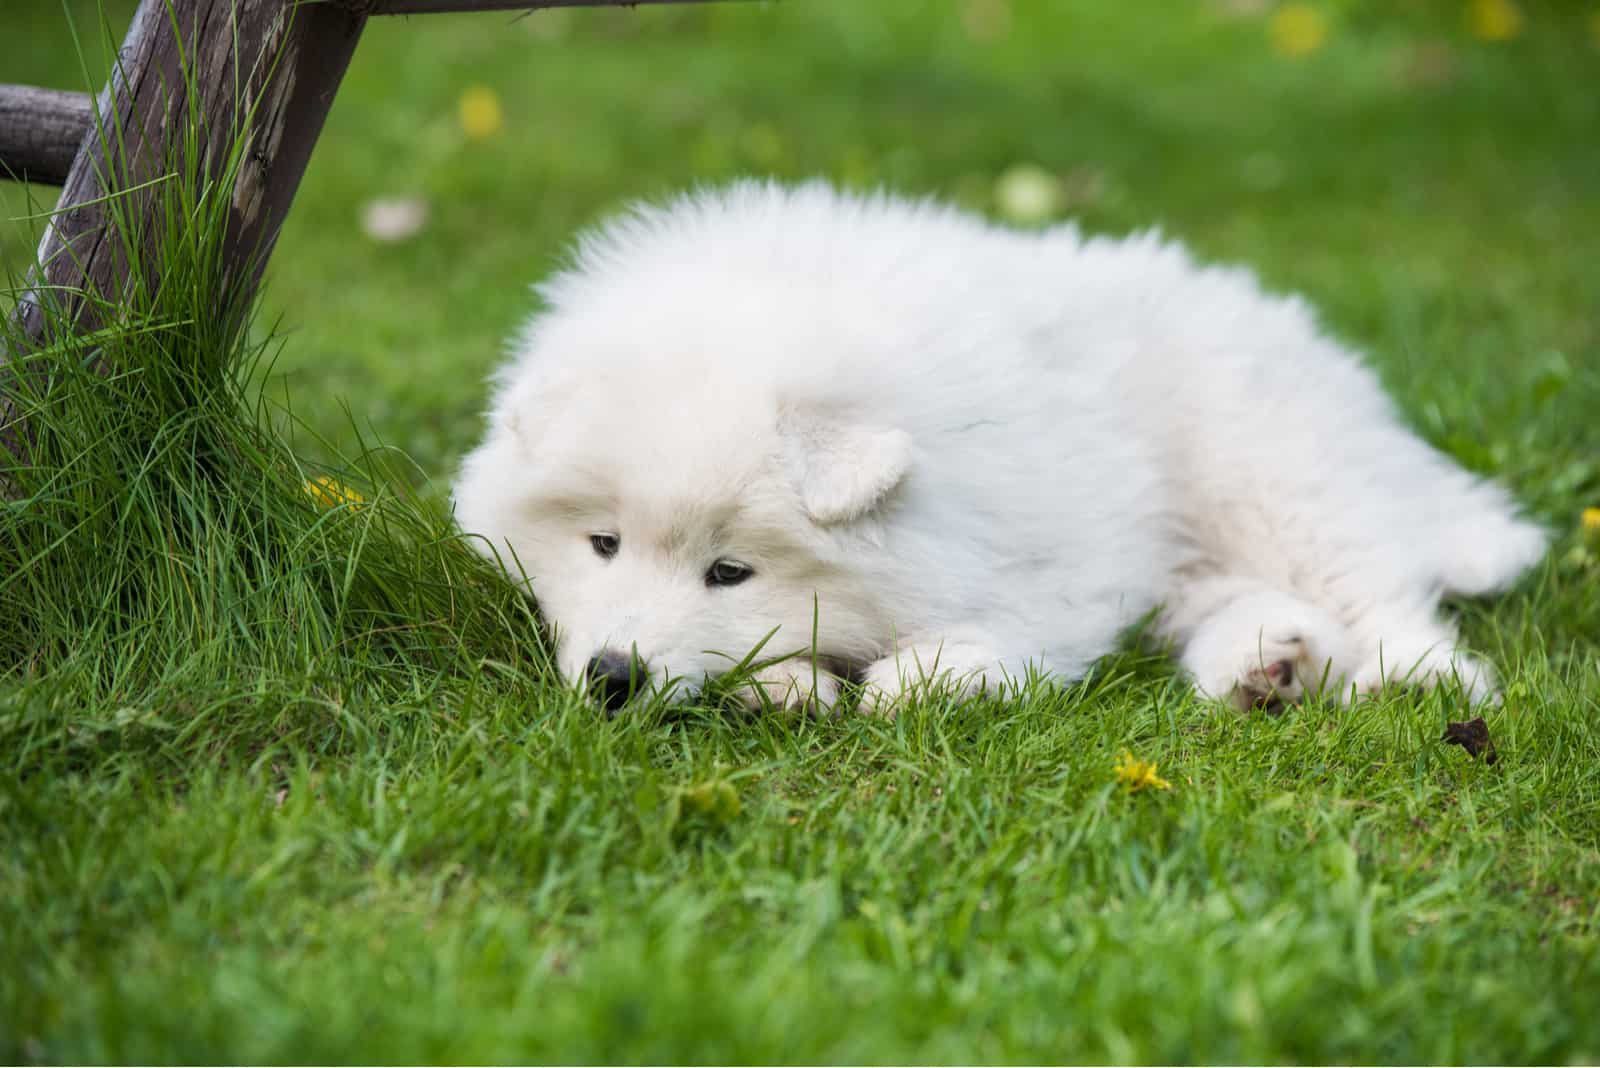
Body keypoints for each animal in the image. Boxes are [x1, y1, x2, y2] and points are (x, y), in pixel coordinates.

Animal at [454, 180, 1548, 713]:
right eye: (600, 544)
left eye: (730, 570)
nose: (613, 679)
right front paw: (785, 683)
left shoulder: (1067, 542)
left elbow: (1008, 629)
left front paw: (922, 680)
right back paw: (1266, 665)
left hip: (1270, 471)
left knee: (1376, 587)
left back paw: (1410, 678)